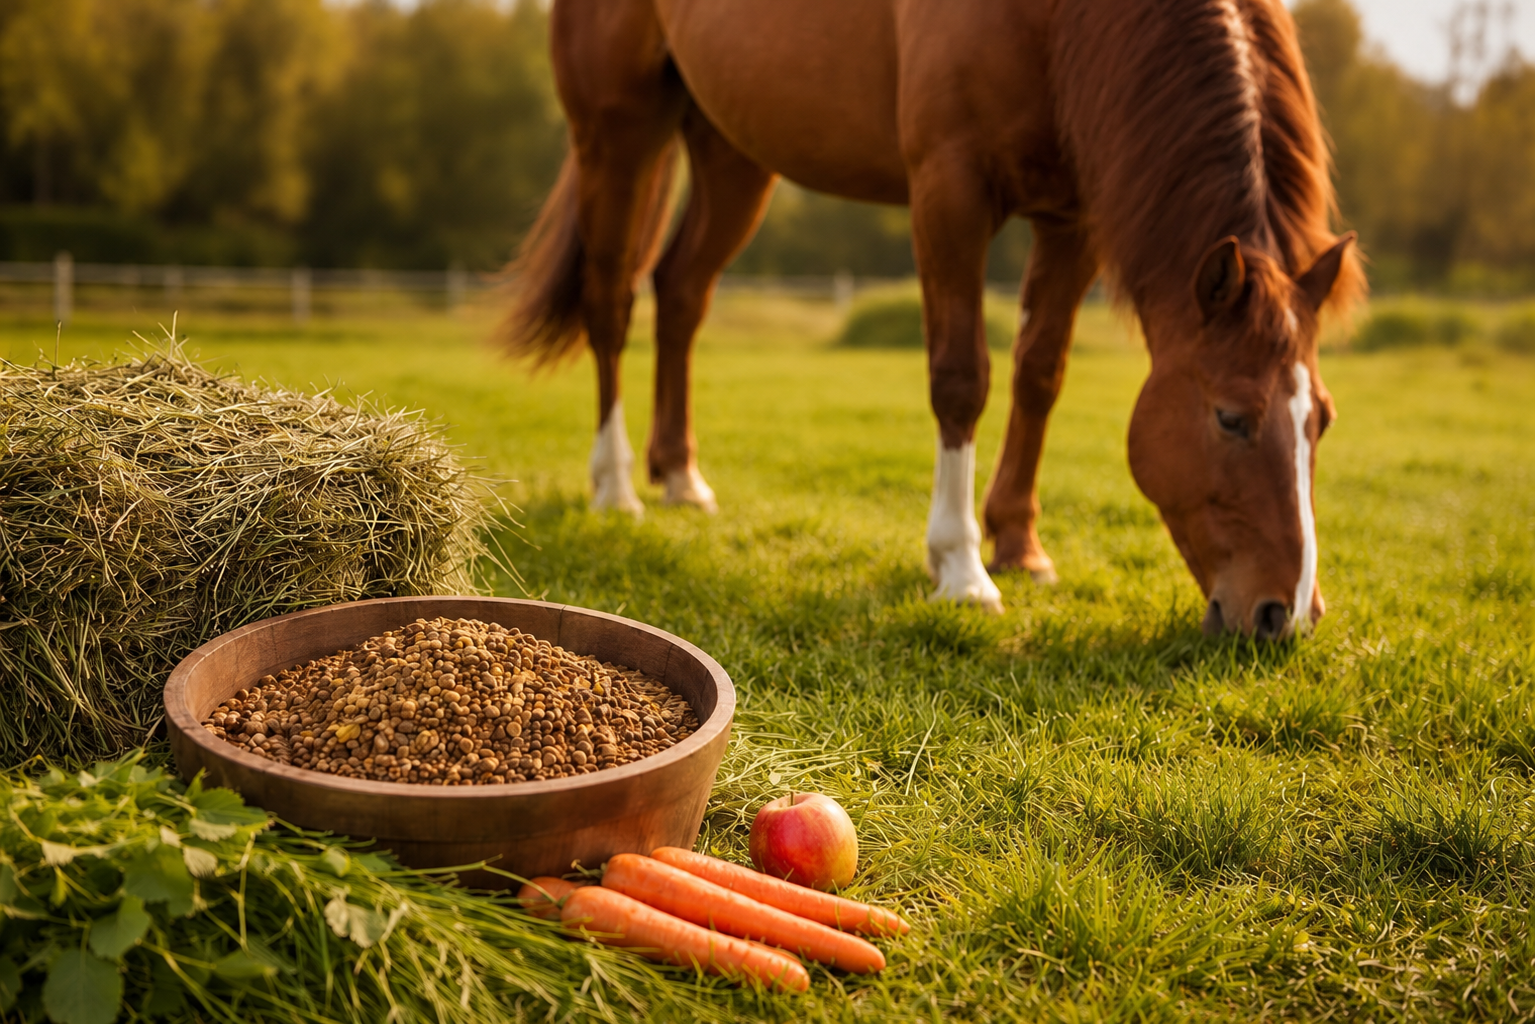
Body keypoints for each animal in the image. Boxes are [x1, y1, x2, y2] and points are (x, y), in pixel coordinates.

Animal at [500, 0, 1365, 639]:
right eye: (1229, 418)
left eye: (1322, 420)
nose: (1285, 615)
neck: (1057, 20)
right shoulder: (949, 191)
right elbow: (961, 379)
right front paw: (960, 567)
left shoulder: (1071, 220)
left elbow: (1038, 372)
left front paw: (1019, 545)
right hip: (618, 132)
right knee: (611, 301)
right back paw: (615, 487)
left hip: (732, 151)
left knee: (681, 293)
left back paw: (680, 476)